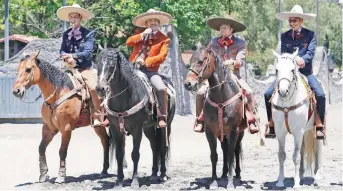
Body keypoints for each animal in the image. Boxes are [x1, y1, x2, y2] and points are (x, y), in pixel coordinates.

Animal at [12, 51, 109, 183]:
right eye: (18, 69)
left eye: (28, 69)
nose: (16, 91)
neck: (58, 93)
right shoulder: (49, 128)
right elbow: (41, 148)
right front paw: (43, 174)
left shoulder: (66, 129)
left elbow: (62, 151)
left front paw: (61, 176)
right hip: (99, 126)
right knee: (106, 140)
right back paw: (105, 170)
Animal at [95, 47, 176, 187]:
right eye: (98, 64)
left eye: (111, 66)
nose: (100, 88)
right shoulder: (115, 128)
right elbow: (119, 153)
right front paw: (119, 181)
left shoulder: (137, 129)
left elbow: (135, 154)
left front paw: (134, 181)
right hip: (148, 128)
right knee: (154, 146)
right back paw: (153, 174)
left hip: (166, 125)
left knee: (163, 146)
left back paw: (163, 175)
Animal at [185, 46, 247, 188]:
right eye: (190, 61)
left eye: (201, 61)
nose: (188, 84)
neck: (221, 99)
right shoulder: (210, 131)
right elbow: (214, 155)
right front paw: (214, 181)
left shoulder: (234, 130)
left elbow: (231, 155)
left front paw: (230, 183)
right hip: (221, 134)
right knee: (224, 149)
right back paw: (223, 174)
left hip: (240, 133)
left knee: (236, 150)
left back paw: (237, 175)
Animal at [272, 49, 324, 188]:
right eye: (277, 70)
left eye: (292, 70)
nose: (282, 91)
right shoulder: (280, 131)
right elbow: (282, 155)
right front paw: (280, 182)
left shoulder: (298, 131)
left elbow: (295, 156)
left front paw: (296, 184)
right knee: (302, 150)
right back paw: (301, 174)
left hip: (314, 130)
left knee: (317, 150)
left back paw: (317, 176)